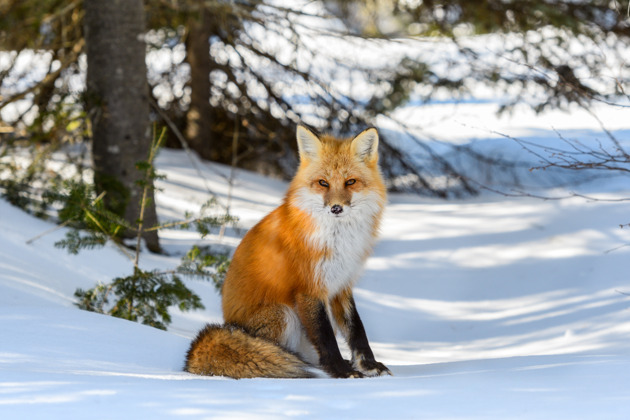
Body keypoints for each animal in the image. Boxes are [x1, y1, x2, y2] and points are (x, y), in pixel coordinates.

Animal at [184, 126, 390, 378]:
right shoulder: (309, 288)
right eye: (323, 183)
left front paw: (368, 365)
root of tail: (229, 324)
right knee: (279, 352)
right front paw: (341, 371)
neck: (337, 240)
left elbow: (357, 331)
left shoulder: (342, 285)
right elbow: (326, 337)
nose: (336, 208)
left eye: (350, 181)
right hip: (283, 314)